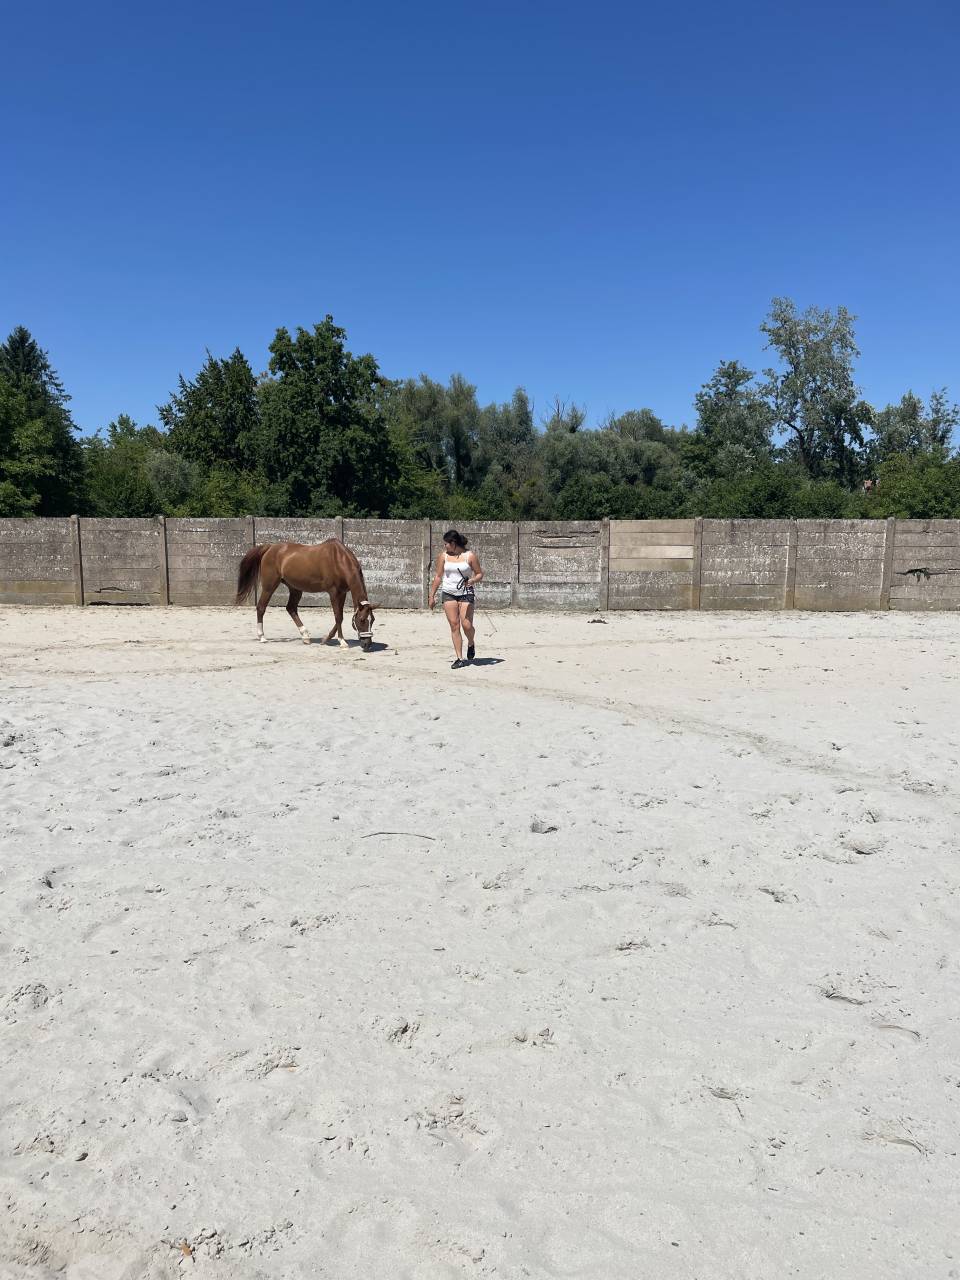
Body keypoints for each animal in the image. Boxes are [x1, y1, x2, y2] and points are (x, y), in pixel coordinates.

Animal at [236, 539, 379, 651]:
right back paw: (262, 637)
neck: (338, 559)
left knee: (291, 608)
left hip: (295, 588)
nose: (367, 645)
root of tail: (270, 548)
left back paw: (305, 636)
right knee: (261, 607)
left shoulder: (342, 593)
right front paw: (342, 642)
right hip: (269, 586)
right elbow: (338, 616)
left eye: (372, 620)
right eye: (362, 620)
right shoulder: (333, 593)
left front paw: (325, 639)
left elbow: (340, 617)